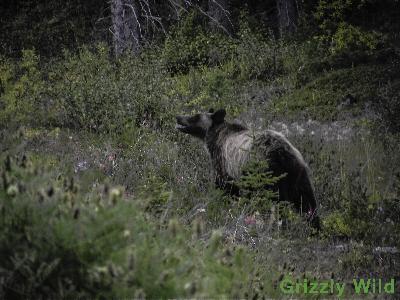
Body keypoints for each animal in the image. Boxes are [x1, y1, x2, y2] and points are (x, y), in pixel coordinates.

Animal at [177, 109, 320, 229]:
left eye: (195, 116)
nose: (178, 117)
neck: (215, 136)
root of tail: (283, 152)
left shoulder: (225, 164)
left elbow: (225, 188)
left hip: (268, 174)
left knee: (277, 201)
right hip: (298, 173)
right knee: (308, 201)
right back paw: (315, 228)